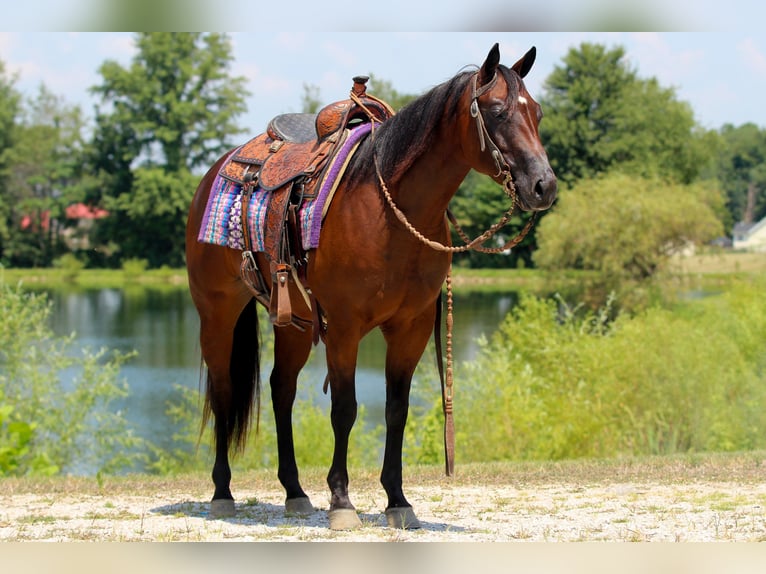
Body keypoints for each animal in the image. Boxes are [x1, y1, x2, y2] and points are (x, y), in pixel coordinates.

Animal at [185, 43, 557, 530]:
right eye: (497, 112)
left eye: (537, 113)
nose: (544, 186)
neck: (389, 210)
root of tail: (215, 173)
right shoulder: (344, 328)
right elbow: (345, 410)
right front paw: (342, 501)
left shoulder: (409, 328)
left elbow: (396, 410)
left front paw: (397, 499)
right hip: (218, 311)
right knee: (224, 389)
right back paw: (222, 492)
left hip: (294, 323)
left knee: (281, 389)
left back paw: (295, 492)